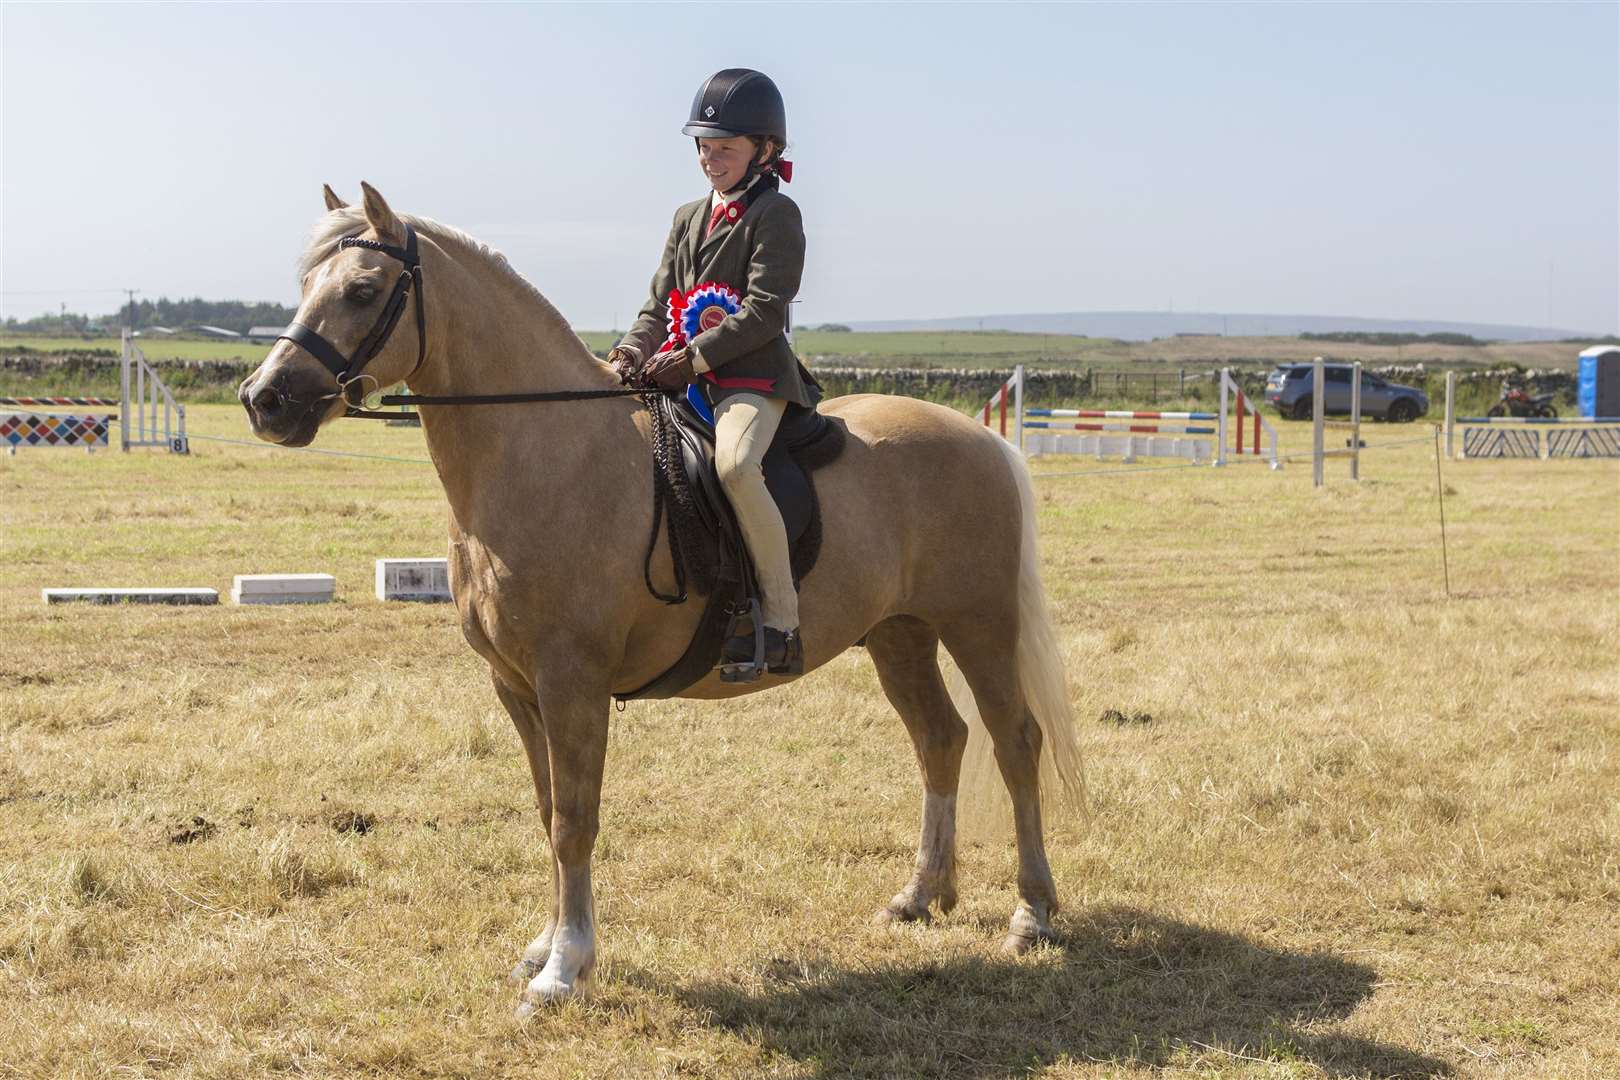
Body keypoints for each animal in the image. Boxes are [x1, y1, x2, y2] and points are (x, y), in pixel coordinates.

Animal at [239, 181, 1088, 1016]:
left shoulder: (571, 680)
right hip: (899, 633)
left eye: (362, 290)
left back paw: (1031, 914)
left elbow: (574, 821)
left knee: (1015, 742)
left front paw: (564, 970)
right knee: (940, 739)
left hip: (978, 625)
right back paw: (918, 896)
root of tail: (984, 439)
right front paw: (546, 948)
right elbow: (548, 809)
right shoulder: (515, 685)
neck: (546, 454)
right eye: (306, 286)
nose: (264, 399)